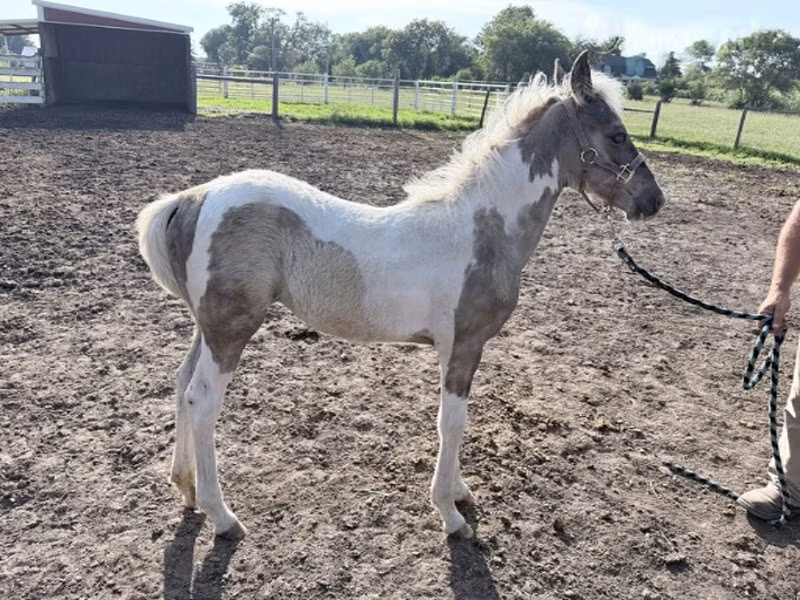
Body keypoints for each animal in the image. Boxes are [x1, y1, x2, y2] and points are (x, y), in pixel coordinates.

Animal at [136, 51, 665, 540]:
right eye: (616, 134)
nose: (654, 200)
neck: (484, 228)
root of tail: (194, 198)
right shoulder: (464, 345)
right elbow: (453, 421)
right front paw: (451, 514)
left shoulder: (456, 349)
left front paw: (459, 492)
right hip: (230, 330)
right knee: (203, 401)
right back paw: (223, 516)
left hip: (207, 327)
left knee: (182, 385)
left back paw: (185, 488)